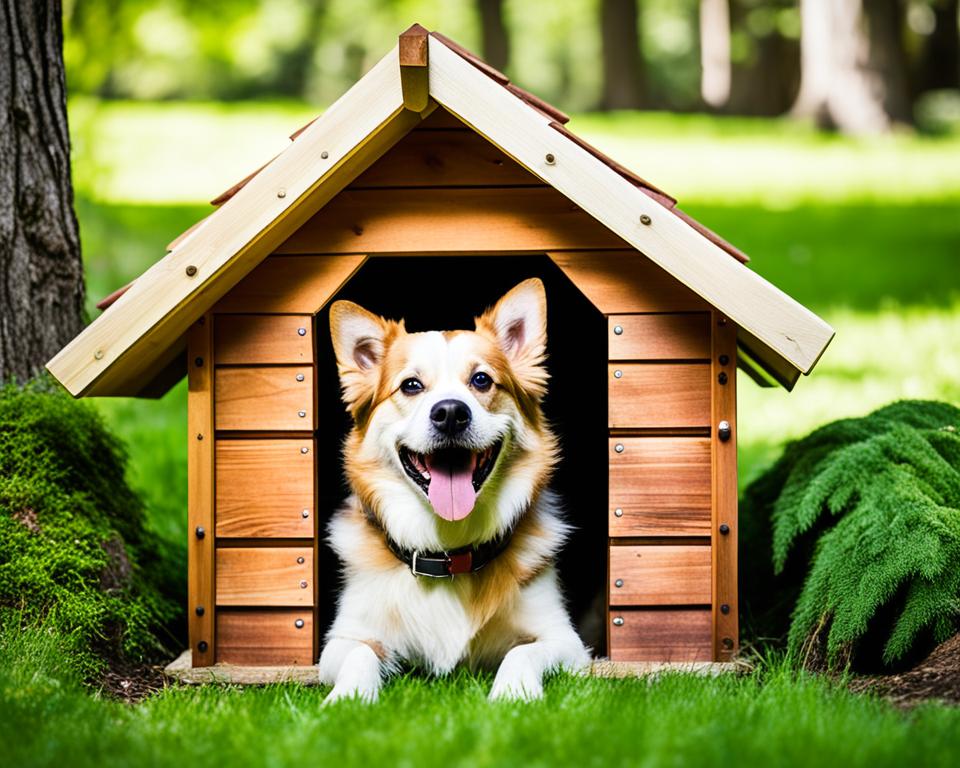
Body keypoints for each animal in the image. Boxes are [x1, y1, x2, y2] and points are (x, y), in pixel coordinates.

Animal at [318, 278, 588, 704]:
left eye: (481, 380)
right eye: (411, 386)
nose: (449, 413)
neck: (449, 550)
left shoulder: (566, 641)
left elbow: (522, 652)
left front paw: (513, 694)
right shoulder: (344, 637)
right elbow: (360, 653)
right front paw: (349, 699)